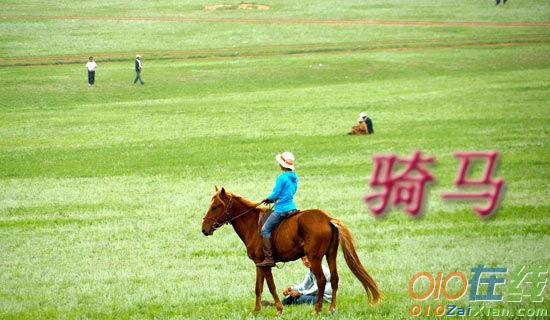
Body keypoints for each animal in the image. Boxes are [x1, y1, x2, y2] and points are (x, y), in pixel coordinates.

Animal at [201, 188, 382, 316]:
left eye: (215, 206)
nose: (204, 229)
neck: (253, 224)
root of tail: (327, 218)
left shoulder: (265, 265)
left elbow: (271, 286)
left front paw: (279, 309)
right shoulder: (259, 264)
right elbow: (258, 287)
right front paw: (257, 310)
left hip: (315, 258)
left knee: (322, 281)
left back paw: (317, 309)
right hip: (331, 255)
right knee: (335, 279)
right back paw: (331, 309)